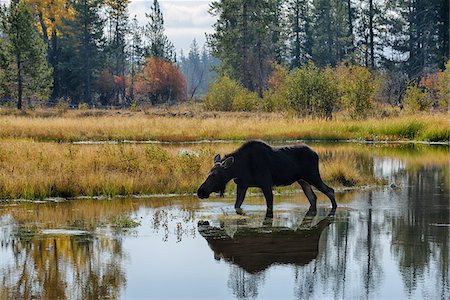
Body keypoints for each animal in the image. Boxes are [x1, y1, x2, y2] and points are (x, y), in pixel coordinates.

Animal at [198, 139, 338, 217]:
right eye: (208, 172)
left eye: (215, 174)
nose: (200, 191)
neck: (239, 168)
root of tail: (316, 154)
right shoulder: (242, 185)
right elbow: (237, 205)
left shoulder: (265, 183)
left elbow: (269, 206)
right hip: (302, 180)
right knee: (313, 197)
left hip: (312, 175)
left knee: (330, 190)